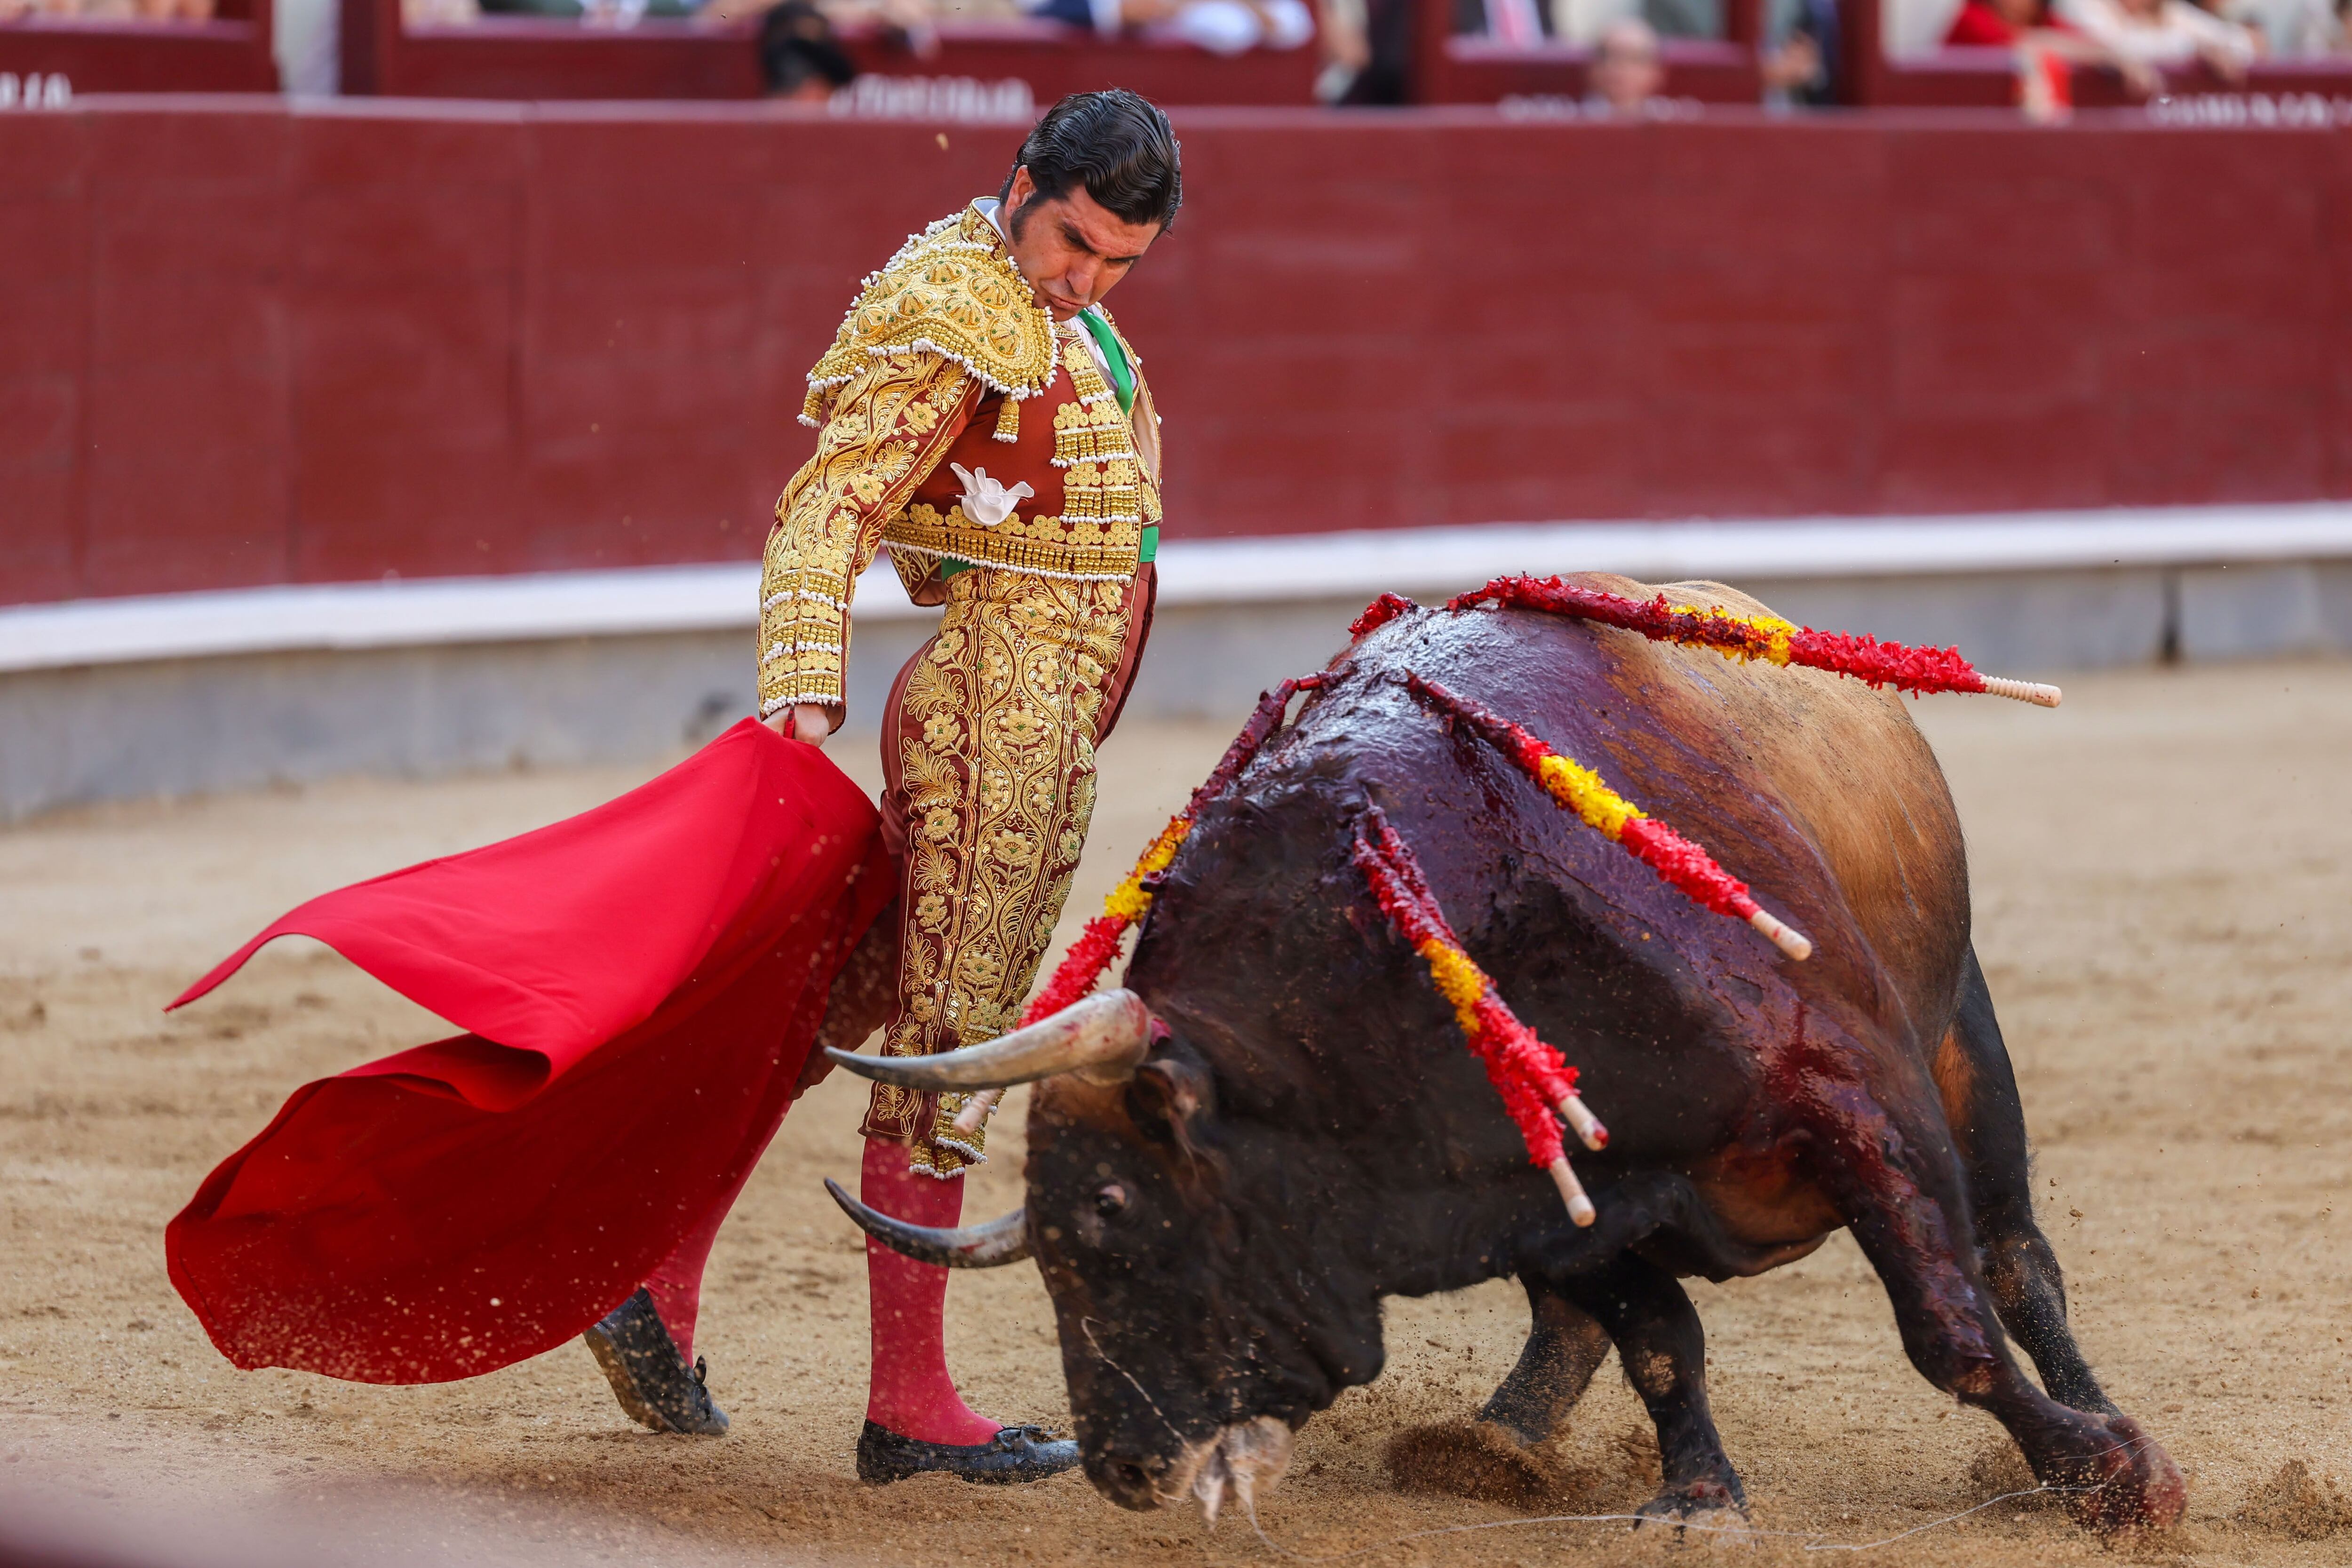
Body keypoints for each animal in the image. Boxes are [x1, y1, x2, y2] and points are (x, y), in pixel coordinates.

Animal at [823, 576, 2183, 1533]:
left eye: (1112, 1206)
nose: (1117, 1461)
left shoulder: (1857, 1093)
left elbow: (1948, 1326)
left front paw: (2110, 1477)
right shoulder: (1541, 1190)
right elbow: (1657, 1338)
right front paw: (1696, 1496)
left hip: (1965, 1045)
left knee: (2015, 1260)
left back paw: (2102, 1421)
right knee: (1587, 1328)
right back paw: (1493, 1442)